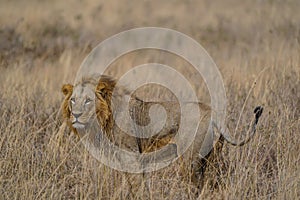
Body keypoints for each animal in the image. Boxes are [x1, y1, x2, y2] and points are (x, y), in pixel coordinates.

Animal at [60, 74, 262, 192]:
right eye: (73, 100)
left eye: (88, 100)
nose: (75, 115)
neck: (106, 116)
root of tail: (213, 112)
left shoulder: (131, 155)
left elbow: (136, 184)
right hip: (212, 156)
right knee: (212, 181)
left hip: (190, 158)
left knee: (196, 184)